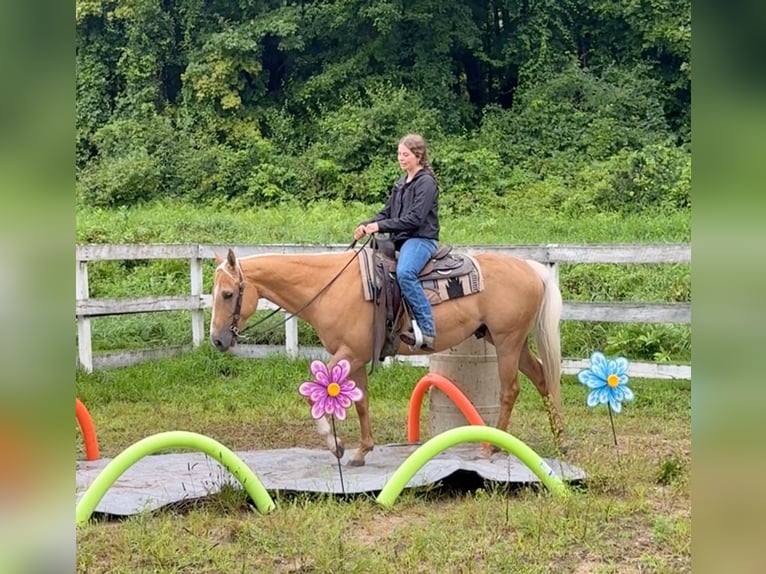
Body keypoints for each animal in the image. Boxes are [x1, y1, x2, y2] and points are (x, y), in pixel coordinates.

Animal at [210, 246, 564, 468]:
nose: (217, 340)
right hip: (508, 341)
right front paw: (361, 451)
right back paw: (559, 440)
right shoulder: (354, 357)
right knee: (542, 378)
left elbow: (314, 389)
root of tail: (529, 267)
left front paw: (335, 444)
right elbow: (362, 402)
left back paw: (489, 447)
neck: (329, 288)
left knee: (510, 390)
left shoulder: (349, 353)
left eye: (227, 294)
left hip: (507, 341)